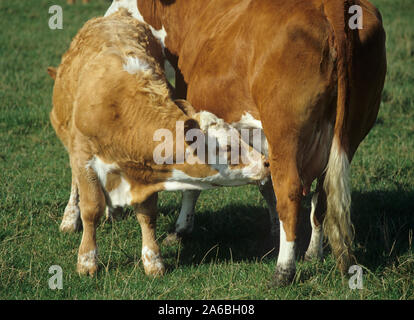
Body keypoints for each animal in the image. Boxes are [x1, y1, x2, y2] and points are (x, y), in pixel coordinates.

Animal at [49, 8, 268, 276]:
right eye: (227, 147)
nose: (266, 163)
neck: (121, 110)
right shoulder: (83, 157)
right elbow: (91, 209)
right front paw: (87, 260)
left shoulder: (146, 171)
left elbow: (147, 214)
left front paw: (153, 260)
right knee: (75, 185)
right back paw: (70, 218)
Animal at [104, 0, 388, 284]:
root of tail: (334, 5)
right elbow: (265, 183)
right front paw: (272, 228)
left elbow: (194, 185)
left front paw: (181, 229)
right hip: (350, 134)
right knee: (323, 195)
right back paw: (312, 253)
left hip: (285, 134)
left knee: (290, 193)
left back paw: (283, 270)